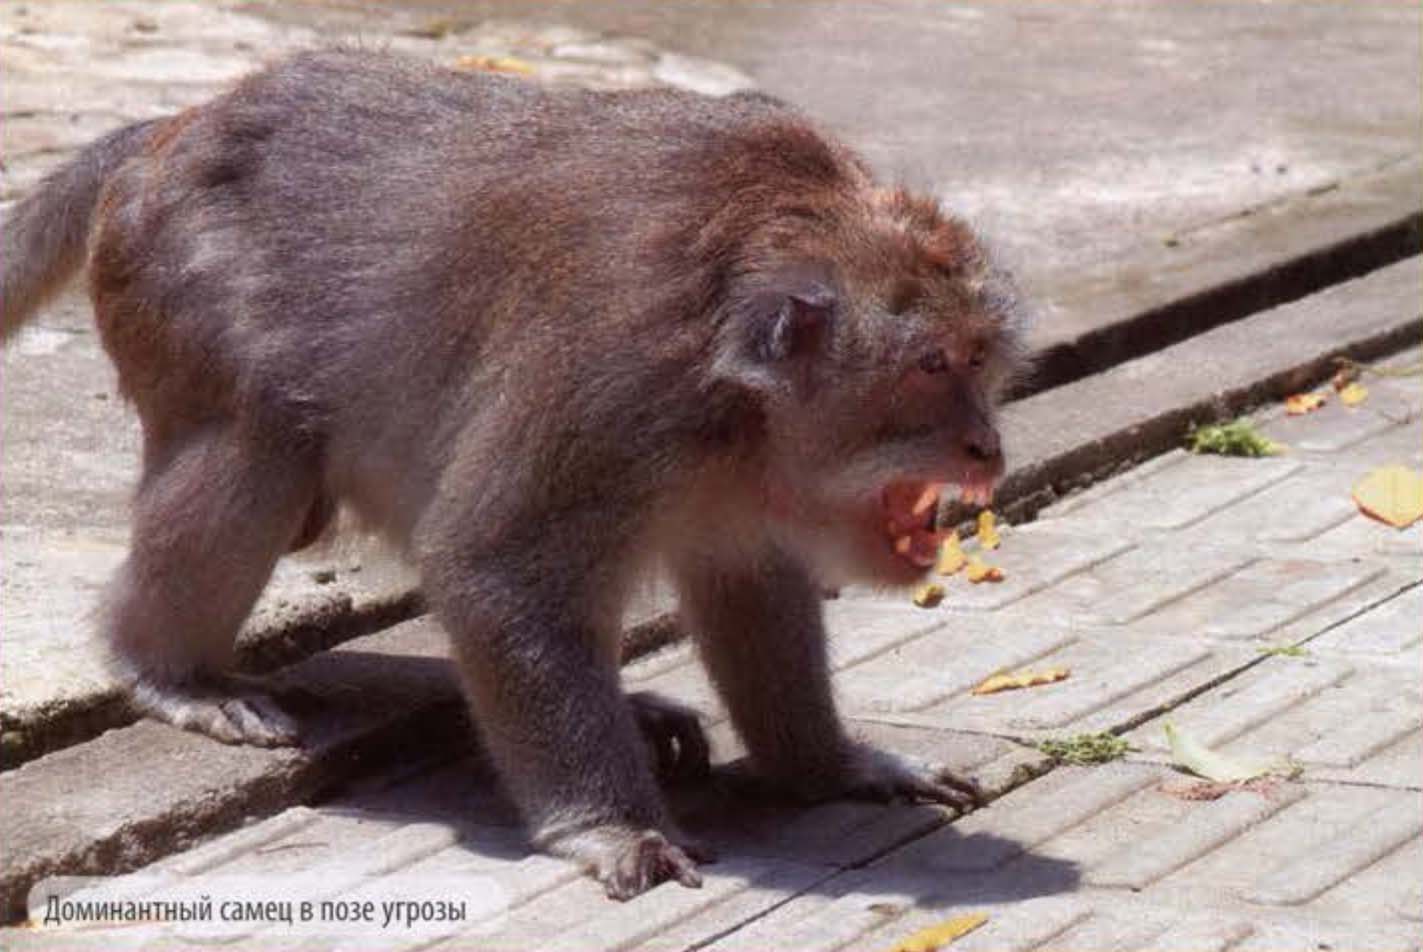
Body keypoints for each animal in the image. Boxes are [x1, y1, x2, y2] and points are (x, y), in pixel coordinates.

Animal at [0, 50, 1030, 899]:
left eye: (978, 358)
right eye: (929, 366)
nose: (985, 445)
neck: (737, 395)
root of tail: (172, 129)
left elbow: (749, 587)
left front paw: (827, 767)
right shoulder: (610, 387)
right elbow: (492, 569)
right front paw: (611, 826)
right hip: (184, 286)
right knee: (254, 456)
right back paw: (170, 671)